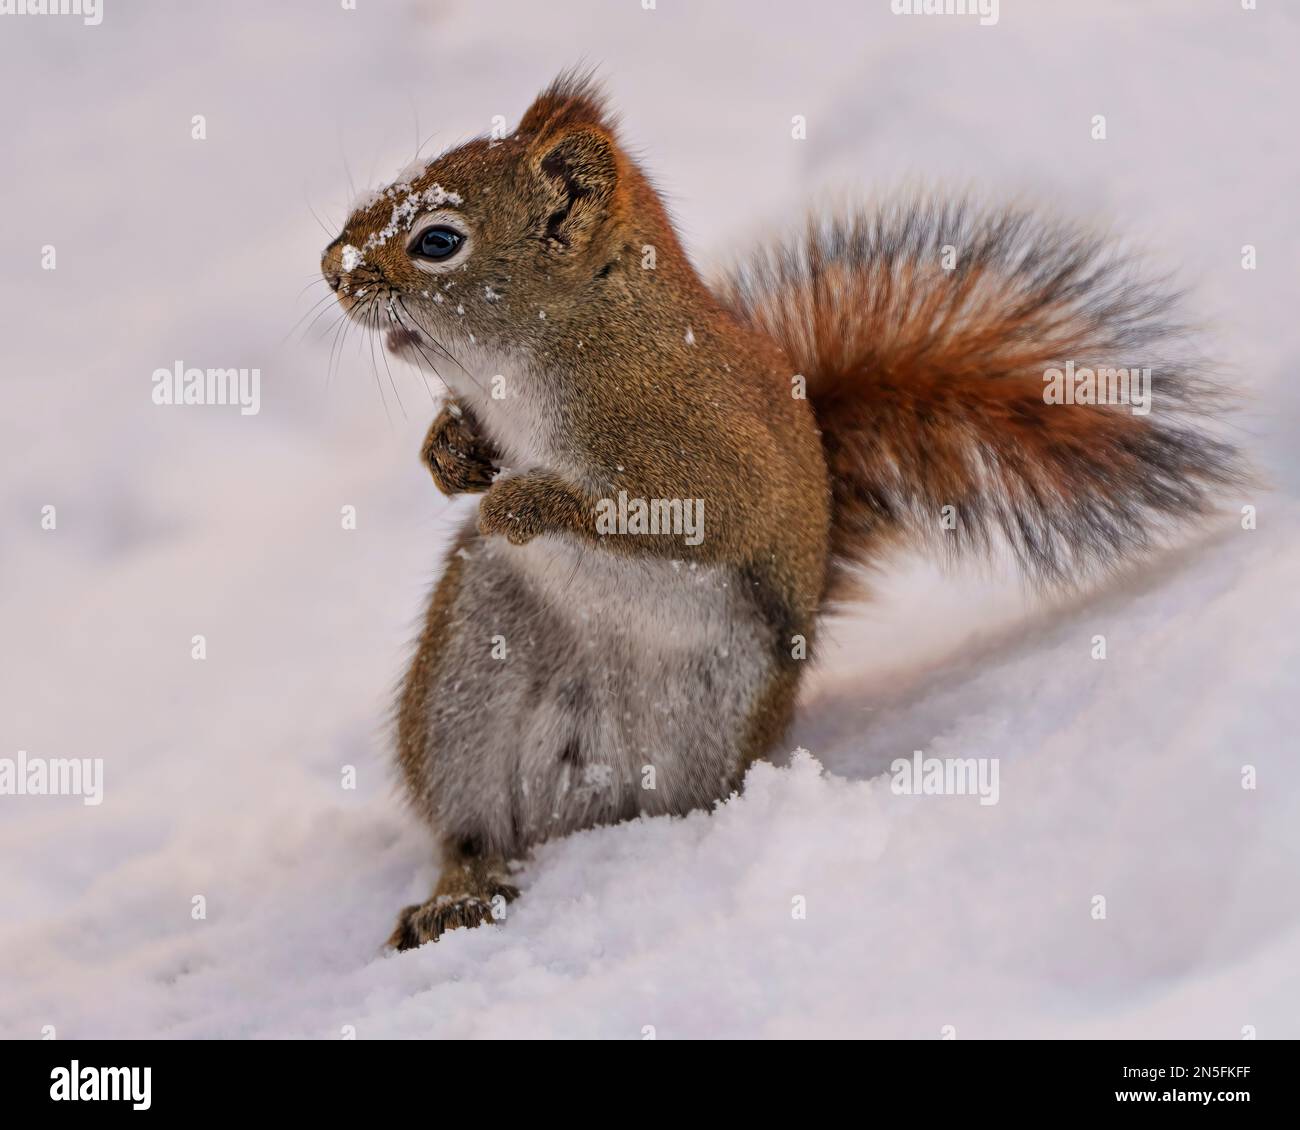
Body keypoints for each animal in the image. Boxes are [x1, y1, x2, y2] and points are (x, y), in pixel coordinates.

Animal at [319, 70, 1242, 946]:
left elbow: (677, 512)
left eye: (438, 240)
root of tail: (579, 808)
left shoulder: (707, 451)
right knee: (475, 832)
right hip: (466, 682)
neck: (558, 350)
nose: (332, 266)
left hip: (714, 703)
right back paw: (459, 894)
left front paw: (522, 501)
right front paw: (450, 453)